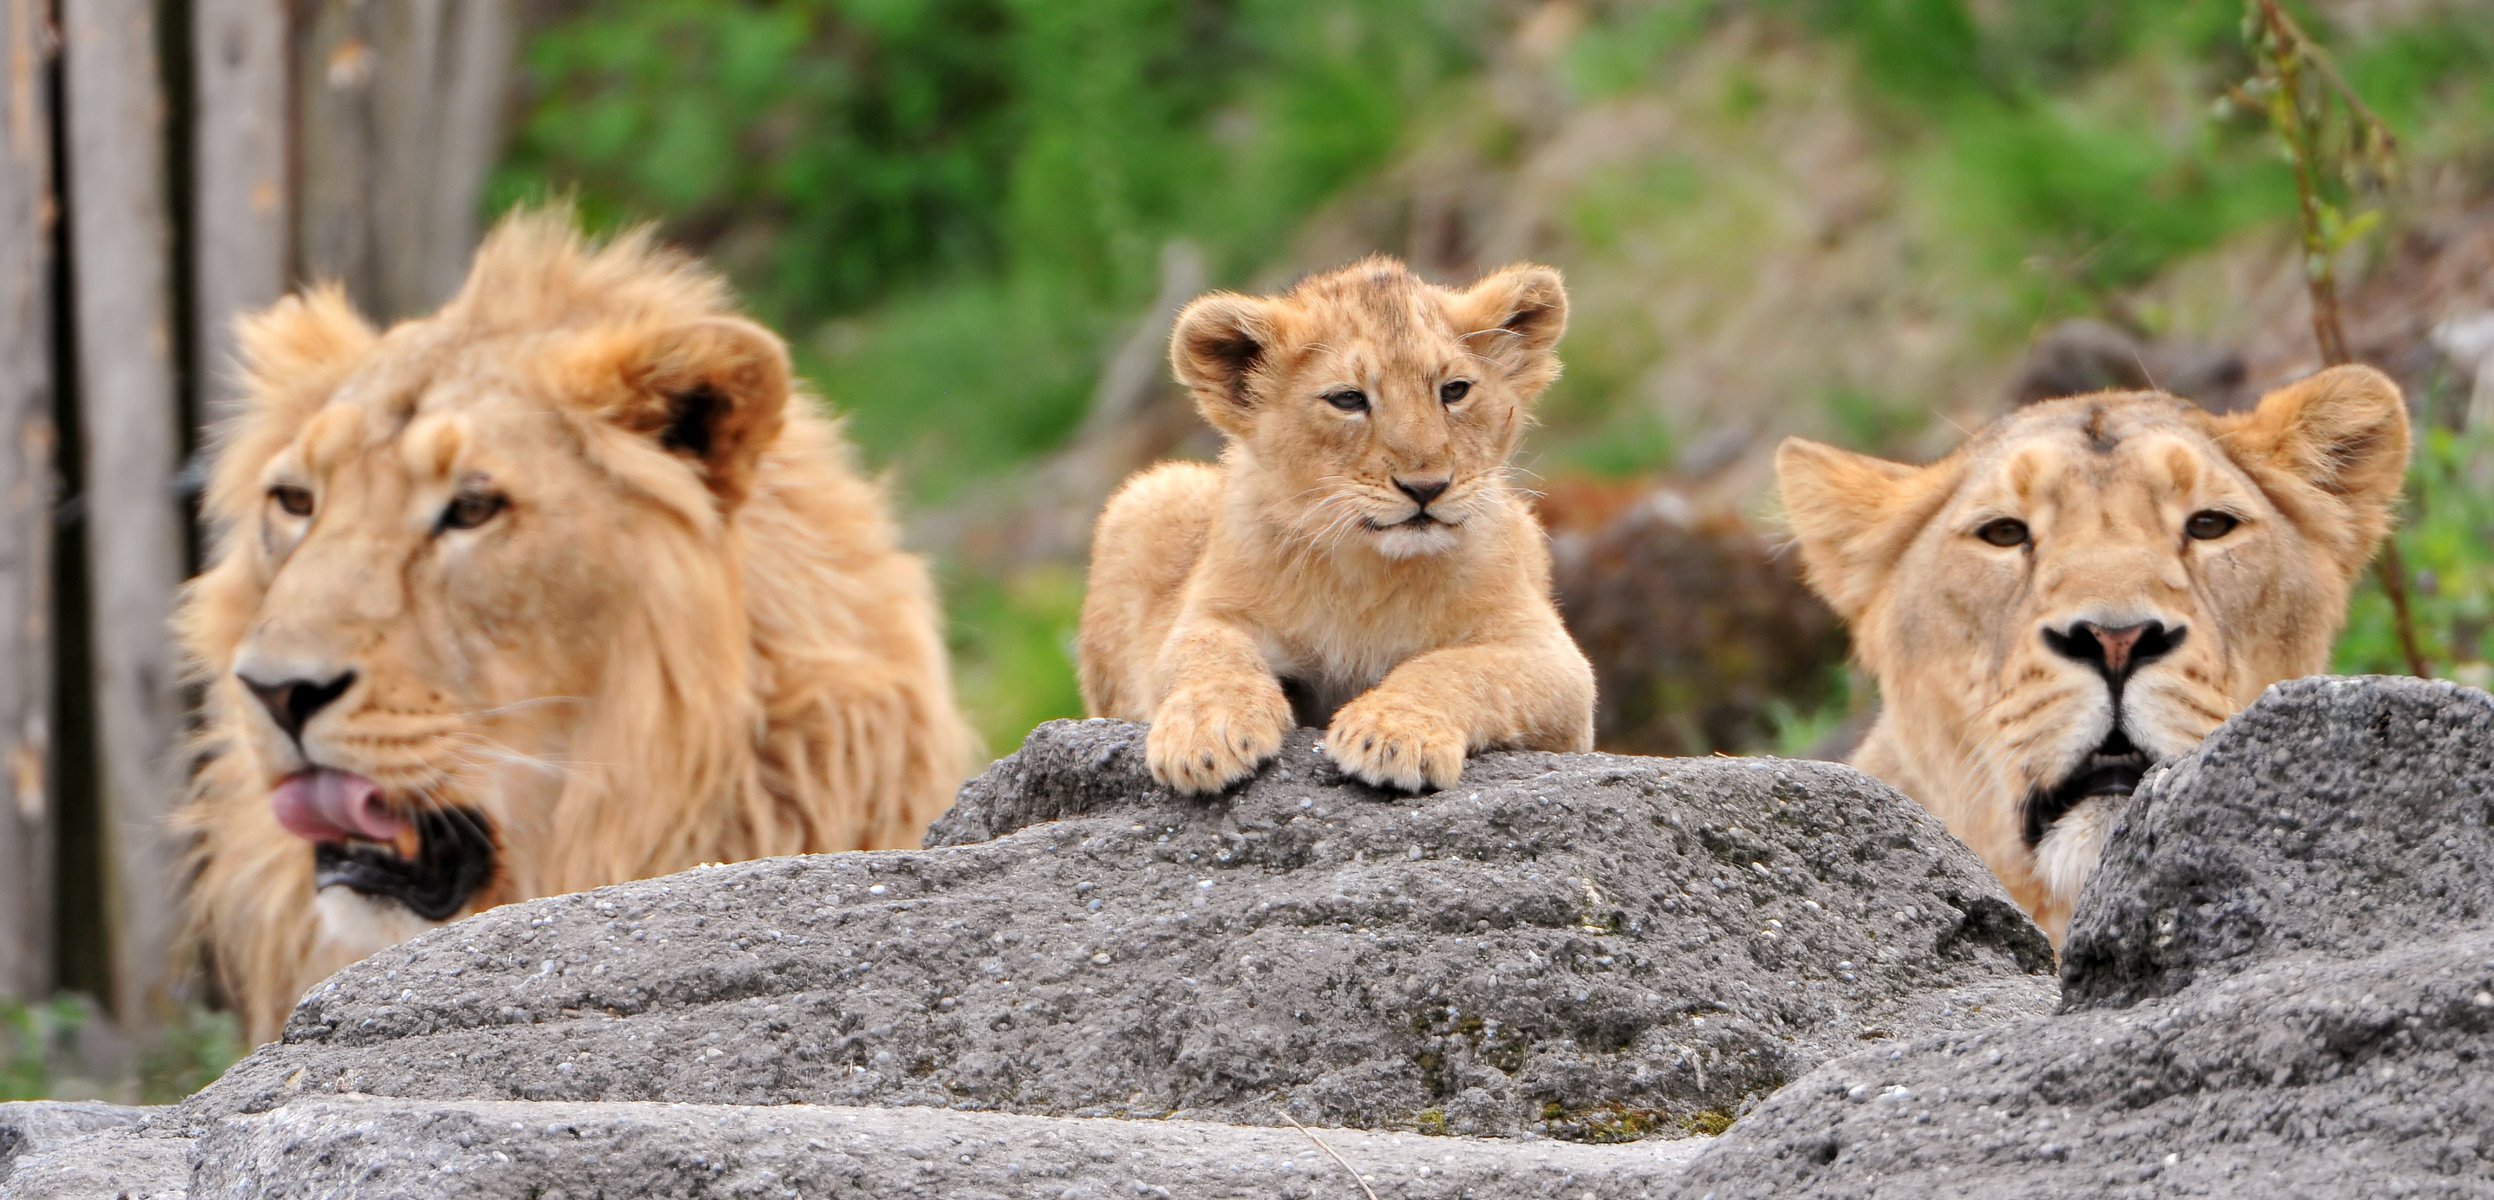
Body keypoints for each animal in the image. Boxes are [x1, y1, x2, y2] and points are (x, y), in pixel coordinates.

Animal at [1077, 257, 1596, 795]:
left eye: (1454, 391)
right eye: (1348, 399)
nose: (1426, 487)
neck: (1366, 572)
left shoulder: (1554, 663)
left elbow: (1454, 669)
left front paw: (1392, 734)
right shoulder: (1211, 613)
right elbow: (1208, 656)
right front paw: (1206, 734)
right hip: (1150, 493)